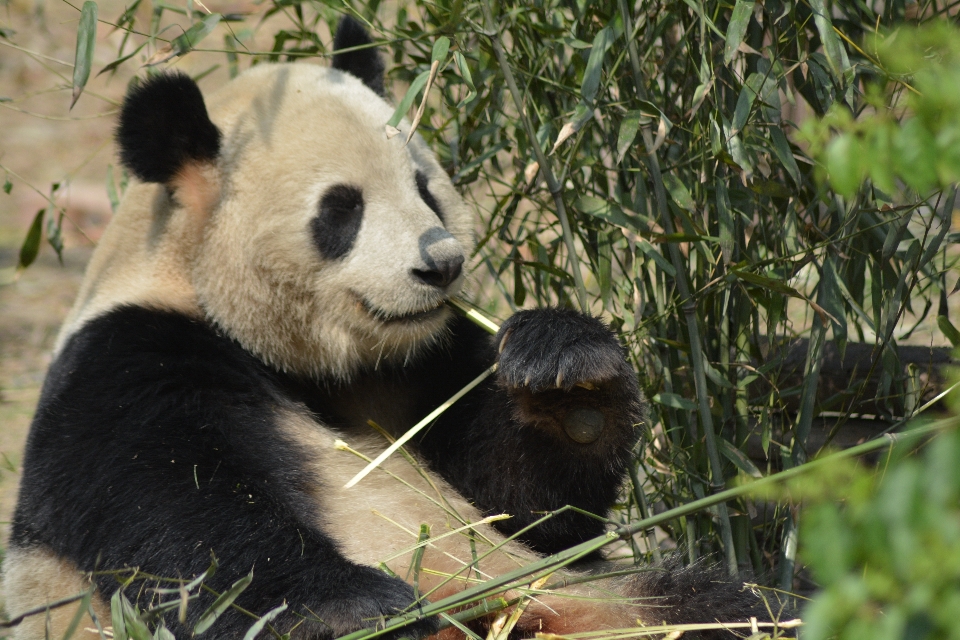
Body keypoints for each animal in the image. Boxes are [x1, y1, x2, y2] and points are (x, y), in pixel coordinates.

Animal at [1, 15, 780, 640]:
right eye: (342, 209)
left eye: (425, 187)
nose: (441, 264)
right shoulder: (132, 356)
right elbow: (185, 518)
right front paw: (357, 609)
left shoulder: (420, 365)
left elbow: (530, 509)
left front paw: (568, 378)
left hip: (602, 601)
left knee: (726, 606)